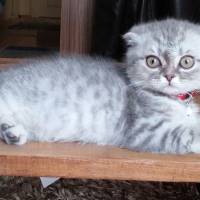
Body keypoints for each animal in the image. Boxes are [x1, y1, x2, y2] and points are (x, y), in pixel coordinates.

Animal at [1, 19, 200, 153]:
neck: (175, 101)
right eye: (152, 61)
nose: (169, 76)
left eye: (186, 61)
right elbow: (187, 133)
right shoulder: (145, 131)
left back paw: (12, 133)